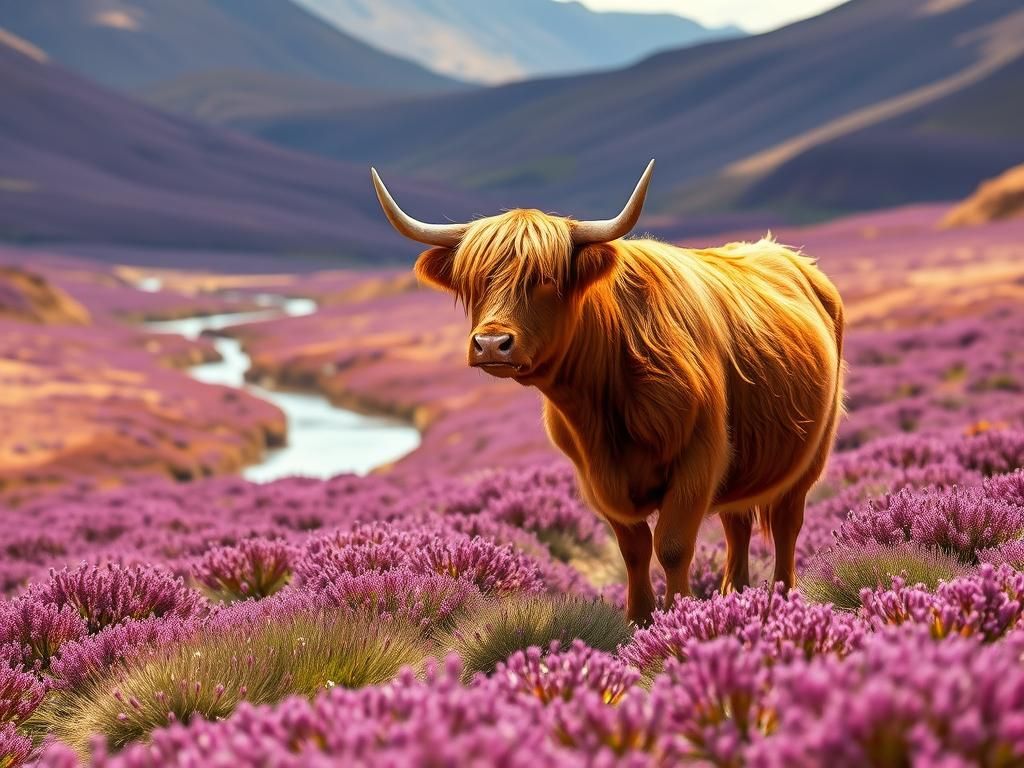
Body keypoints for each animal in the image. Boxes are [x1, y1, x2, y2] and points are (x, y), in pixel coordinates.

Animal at [371, 161, 845, 624]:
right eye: (474, 282)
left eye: (545, 279)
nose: (491, 343)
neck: (605, 402)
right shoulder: (596, 475)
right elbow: (633, 549)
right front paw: (638, 620)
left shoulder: (700, 457)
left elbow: (672, 545)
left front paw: (679, 615)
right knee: (738, 524)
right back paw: (737, 593)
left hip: (810, 457)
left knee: (785, 524)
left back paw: (780, 597)